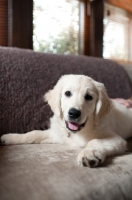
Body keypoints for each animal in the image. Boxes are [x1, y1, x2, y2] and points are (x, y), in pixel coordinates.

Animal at [1, 75, 132, 167]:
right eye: (67, 93)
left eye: (89, 97)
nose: (74, 113)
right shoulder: (57, 135)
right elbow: (33, 134)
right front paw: (9, 137)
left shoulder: (115, 138)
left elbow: (95, 141)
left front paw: (89, 154)